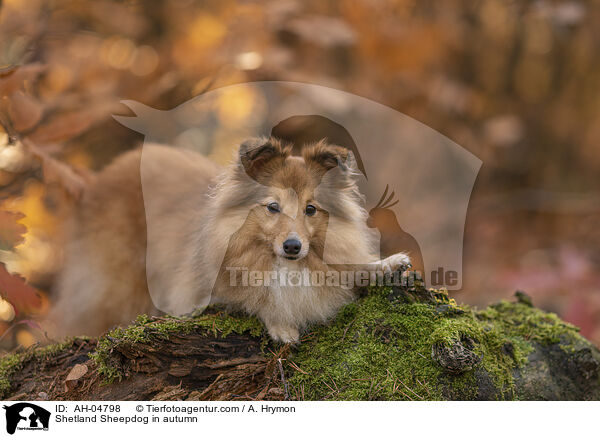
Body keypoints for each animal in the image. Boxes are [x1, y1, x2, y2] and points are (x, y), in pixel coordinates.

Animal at [49, 138, 410, 342]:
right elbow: (255, 298)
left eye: (310, 209)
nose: (293, 247)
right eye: (273, 207)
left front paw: (388, 264)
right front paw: (282, 324)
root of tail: (96, 182)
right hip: (115, 285)